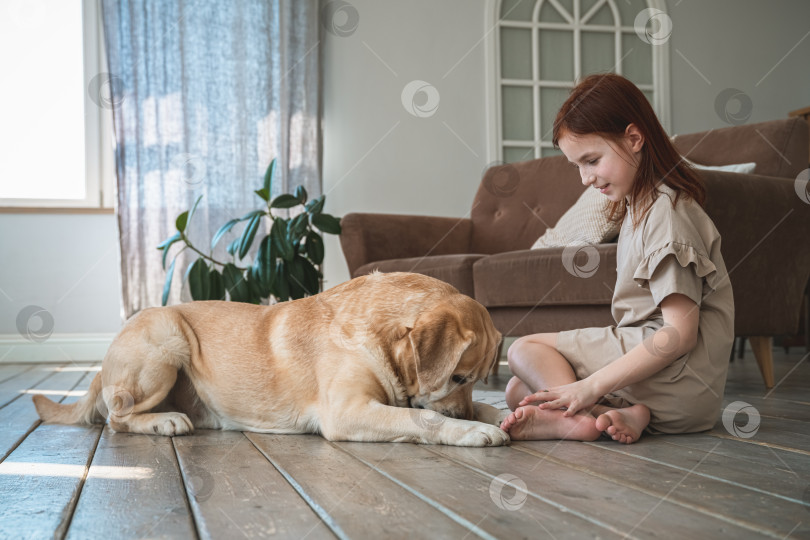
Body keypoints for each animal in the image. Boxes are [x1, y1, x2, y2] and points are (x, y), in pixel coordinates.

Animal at [36, 272, 512, 446]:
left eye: (477, 379)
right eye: (457, 377)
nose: (462, 411)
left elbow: (481, 406)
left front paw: (494, 414)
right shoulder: (347, 411)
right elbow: (422, 418)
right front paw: (471, 429)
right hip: (167, 336)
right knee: (116, 419)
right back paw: (162, 421)